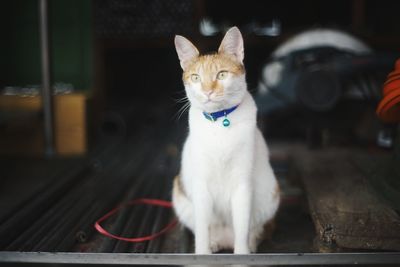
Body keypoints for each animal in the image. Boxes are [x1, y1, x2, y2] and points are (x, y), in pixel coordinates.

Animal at [173, 27, 280, 255]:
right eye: (196, 77)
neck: (219, 122)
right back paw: (214, 242)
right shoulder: (201, 186)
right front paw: (202, 254)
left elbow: (242, 227)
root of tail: (224, 239)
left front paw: (242, 254)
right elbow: (202, 230)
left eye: (221, 74)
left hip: (271, 193)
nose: (208, 91)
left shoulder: (242, 185)